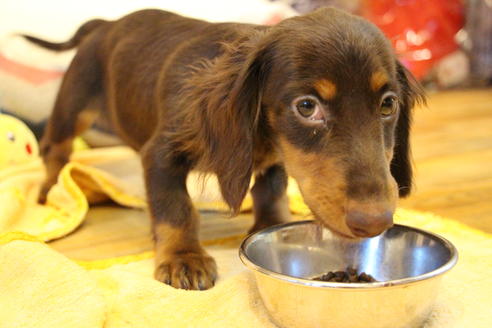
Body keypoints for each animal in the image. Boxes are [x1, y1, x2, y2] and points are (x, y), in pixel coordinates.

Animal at [26, 7, 422, 290]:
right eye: (307, 107)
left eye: (388, 104)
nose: (375, 221)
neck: (263, 135)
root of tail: (106, 24)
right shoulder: (161, 154)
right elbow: (176, 208)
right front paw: (183, 257)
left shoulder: (276, 158)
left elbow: (271, 189)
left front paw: (273, 224)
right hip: (71, 110)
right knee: (55, 152)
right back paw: (48, 193)